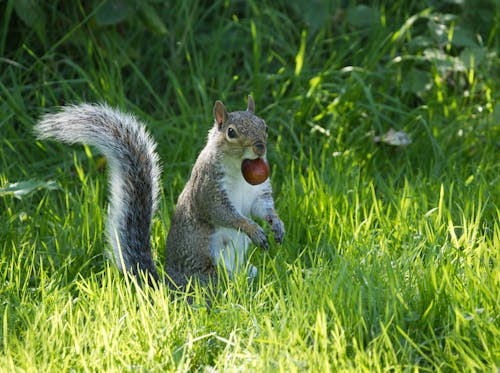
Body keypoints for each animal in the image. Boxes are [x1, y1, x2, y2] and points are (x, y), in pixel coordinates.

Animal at [34, 96, 286, 288]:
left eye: (264, 125)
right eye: (231, 132)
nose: (260, 147)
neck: (240, 168)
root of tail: (168, 289)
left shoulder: (259, 193)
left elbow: (263, 209)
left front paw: (276, 224)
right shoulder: (208, 189)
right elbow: (223, 213)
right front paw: (252, 229)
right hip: (206, 275)